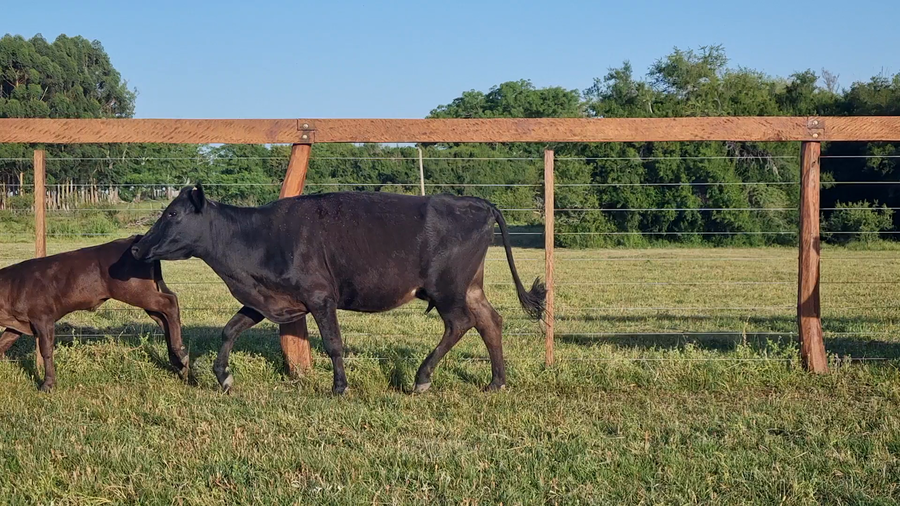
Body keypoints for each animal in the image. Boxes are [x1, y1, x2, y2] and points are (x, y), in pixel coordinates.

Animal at [0, 236, 188, 391]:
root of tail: (133, 239)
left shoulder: (43, 318)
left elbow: (46, 350)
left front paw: (48, 384)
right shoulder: (17, 325)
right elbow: (3, 343)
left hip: (135, 291)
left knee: (170, 302)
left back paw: (180, 354)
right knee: (162, 318)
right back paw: (178, 362)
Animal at [131, 183, 545, 395]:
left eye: (172, 213)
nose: (136, 247)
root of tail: (474, 202)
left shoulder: (320, 296)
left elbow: (334, 343)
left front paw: (340, 387)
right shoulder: (266, 298)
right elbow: (229, 329)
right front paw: (223, 376)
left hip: (447, 288)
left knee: (460, 323)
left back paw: (422, 378)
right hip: (469, 286)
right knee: (490, 321)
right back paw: (496, 382)